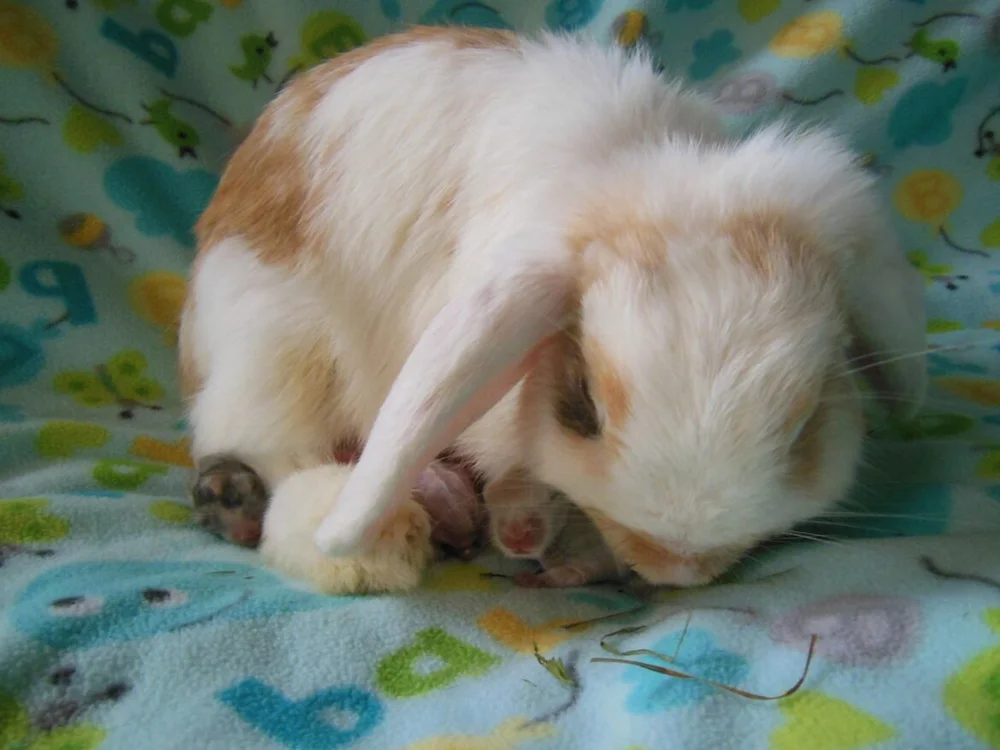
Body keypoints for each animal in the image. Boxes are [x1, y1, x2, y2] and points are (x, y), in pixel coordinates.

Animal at [179, 26, 926, 594]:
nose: (677, 567)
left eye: (805, 426)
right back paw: (380, 533)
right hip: (275, 343)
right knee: (276, 453)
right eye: (583, 409)